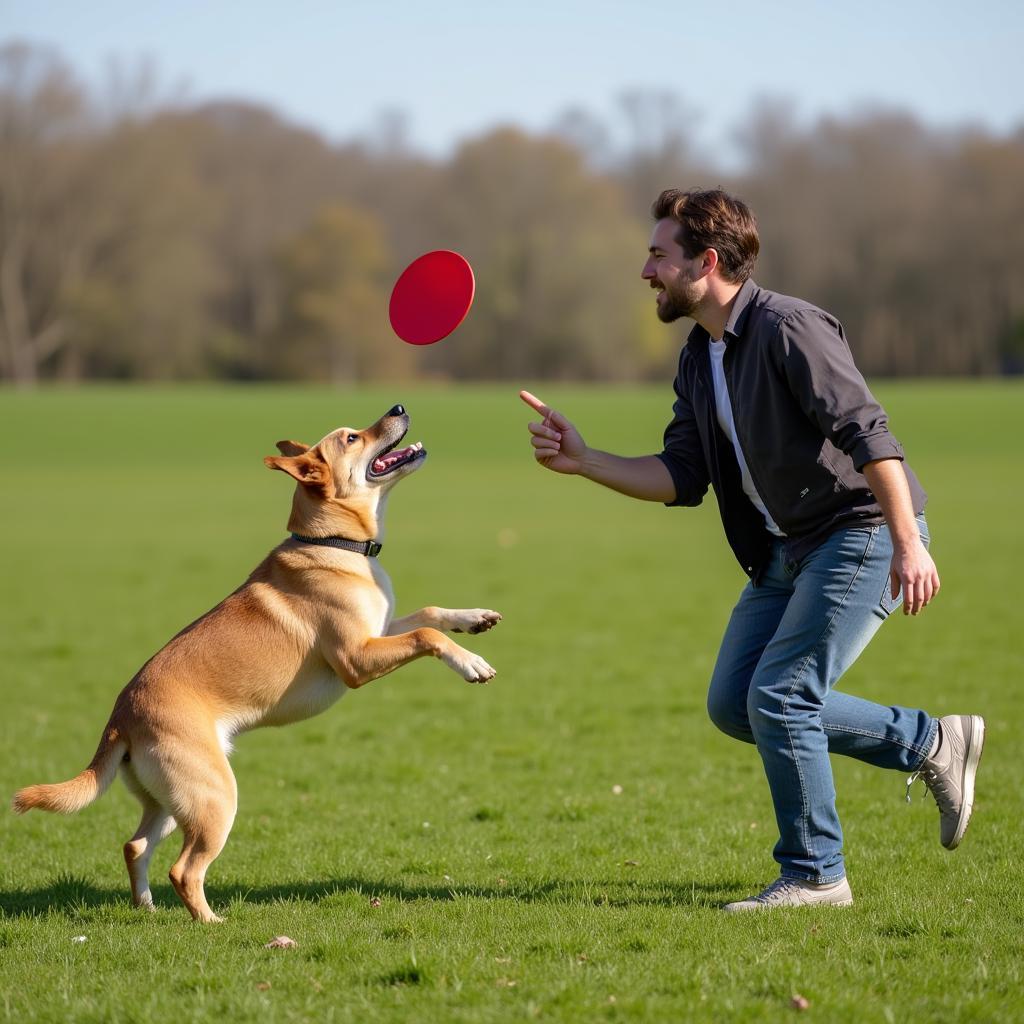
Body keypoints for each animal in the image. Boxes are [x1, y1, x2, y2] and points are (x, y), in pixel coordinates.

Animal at [11, 403, 499, 925]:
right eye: (351, 438)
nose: (398, 408)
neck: (333, 542)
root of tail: (120, 718)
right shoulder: (357, 659)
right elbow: (426, 634)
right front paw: (472, 665)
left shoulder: (380, 630)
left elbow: (429, 614)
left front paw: (475, 620)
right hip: (214, 798)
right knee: (183, 870)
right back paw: (211, 923)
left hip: (171, 802)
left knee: (135, 846)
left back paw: (146, 908)